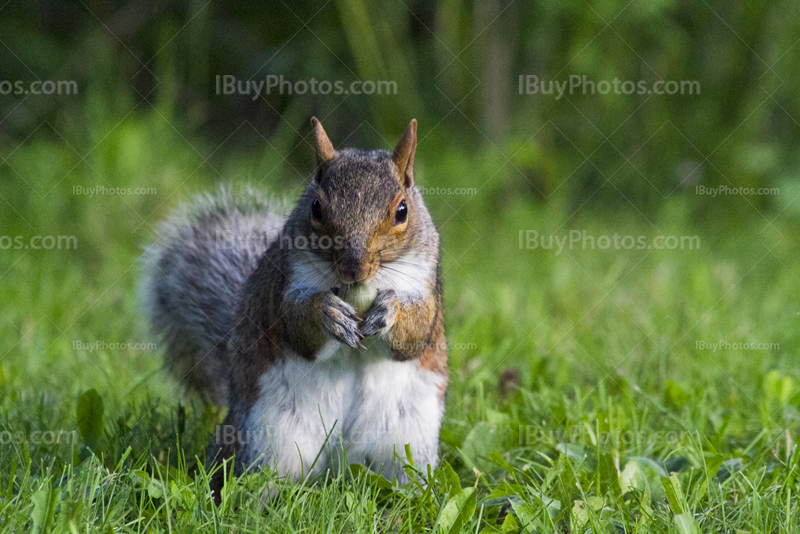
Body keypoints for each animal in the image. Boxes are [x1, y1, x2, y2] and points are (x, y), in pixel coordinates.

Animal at [141, 119, 446, 500]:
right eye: (316, 207)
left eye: (402, 211)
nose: (354, 269)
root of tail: (339, 465)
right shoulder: (286, 284)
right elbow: (298, 329)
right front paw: (328, 313)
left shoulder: (425, 285)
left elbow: (415, 335)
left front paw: (389, 310)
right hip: (268, 442)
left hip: (407, 446)